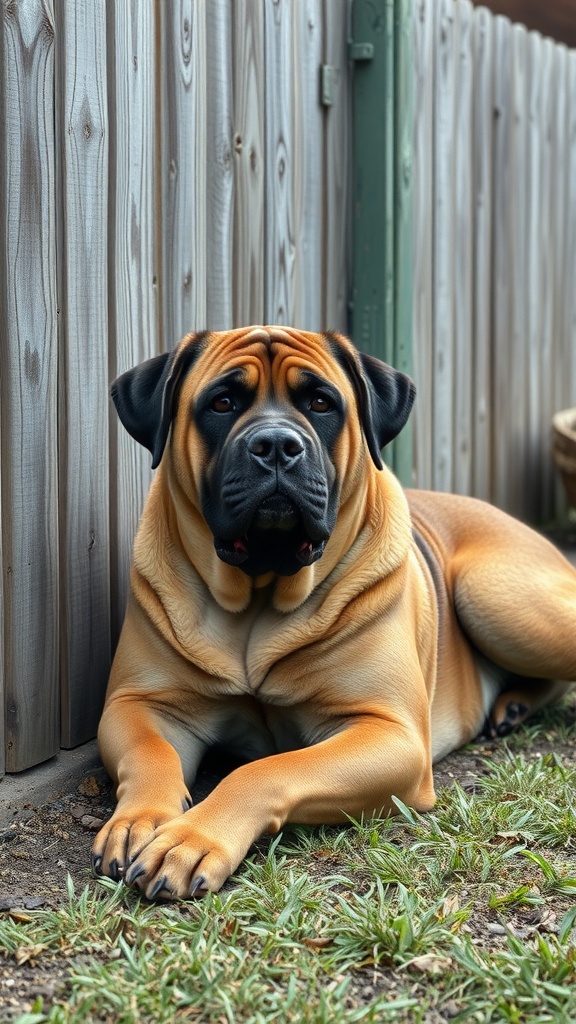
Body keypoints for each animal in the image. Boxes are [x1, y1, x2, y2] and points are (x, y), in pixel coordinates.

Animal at [93, 325, 573, 897]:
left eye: (321, 403)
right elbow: (151, 754)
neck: (259, 596)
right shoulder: (141, 704)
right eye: (222, 402)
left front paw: (192, 837)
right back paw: (512, 705)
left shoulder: (389, 734)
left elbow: (267, 769)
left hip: (499, 601)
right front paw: (139, 820)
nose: (276, 445)